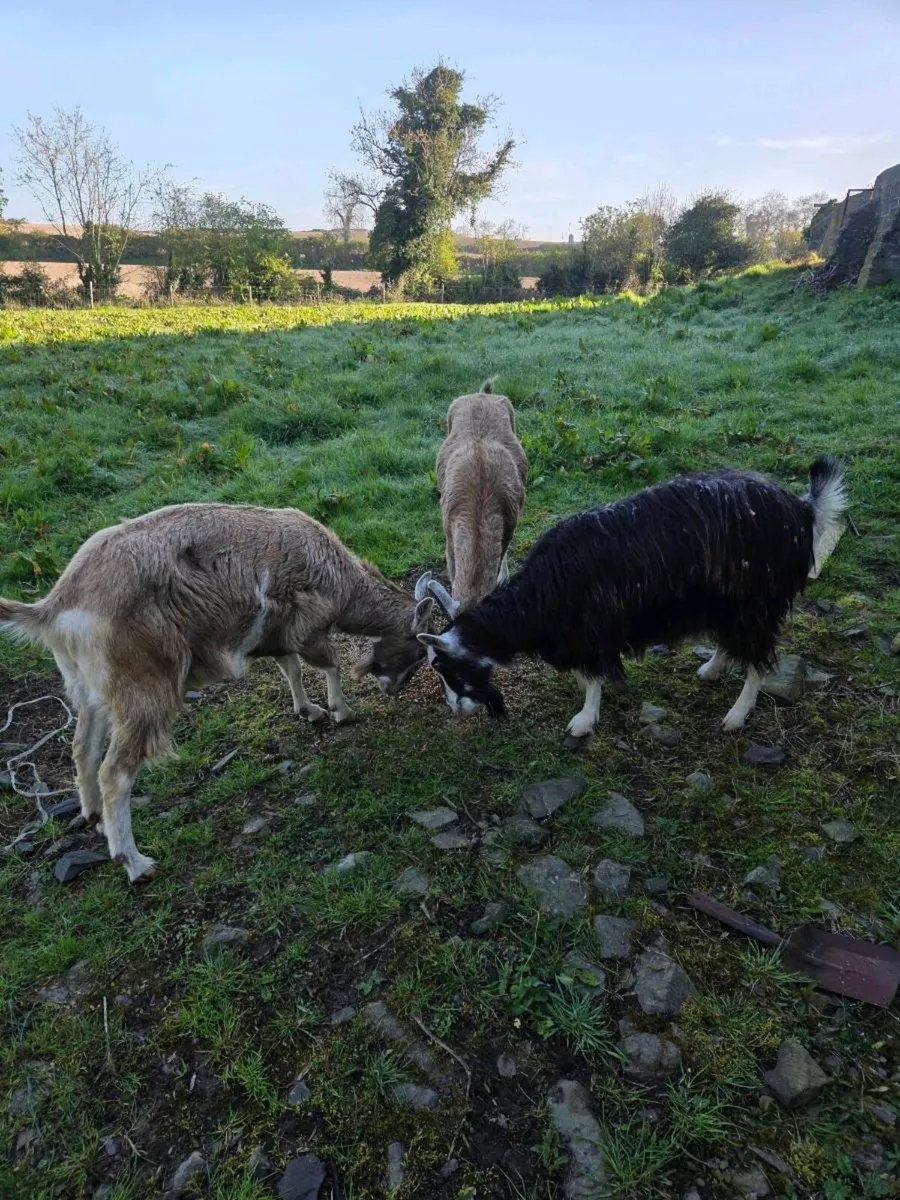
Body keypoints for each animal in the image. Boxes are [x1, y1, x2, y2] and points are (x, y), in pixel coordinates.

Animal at [1, 503, 434, 882]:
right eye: (419, 648)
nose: (392, 687)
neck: (338, 574)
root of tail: (57, 605)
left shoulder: (276, 633)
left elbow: (290, 667)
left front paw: (307, 709)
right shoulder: (307, 624)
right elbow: (328, 663)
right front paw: (341, 710)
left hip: (88, 687)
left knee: (83, 749)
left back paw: (94, 818)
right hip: (143, 687)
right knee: (116, 772)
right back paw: (135, 862)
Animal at [419, 457, 847, 741]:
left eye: (449, 669)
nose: (457, 710)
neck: (543, 596)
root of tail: (803, 509)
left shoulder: (593, 631)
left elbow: (593, 676)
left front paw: (584, 720)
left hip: (755, 604)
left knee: (759, 660)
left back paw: (736, 715)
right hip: (724, 604)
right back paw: (712, 669)